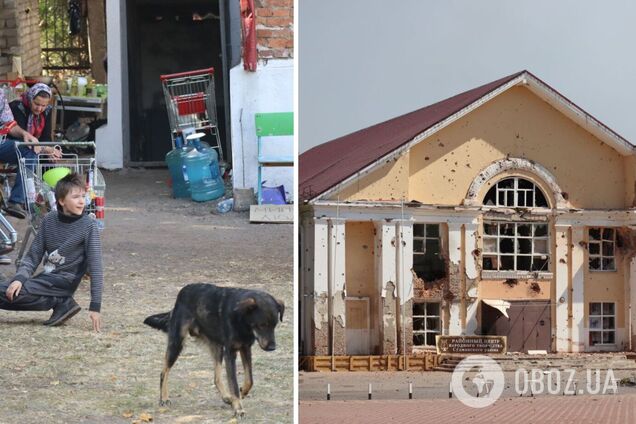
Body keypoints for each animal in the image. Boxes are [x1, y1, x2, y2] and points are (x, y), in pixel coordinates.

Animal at [145, 284, 284, 416]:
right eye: (262, 325)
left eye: (275, 325)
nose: (272, 348)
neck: (241, 320)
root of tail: (182, 292)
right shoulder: (230, 353)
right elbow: (233, 384)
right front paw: (238, 408)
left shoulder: (245, 349)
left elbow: (250, 380)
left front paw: (242, 393)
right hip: (177, 343)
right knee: (164, 372)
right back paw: (164, 398)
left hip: (217, 348)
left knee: (216, 378)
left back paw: (227, 397)